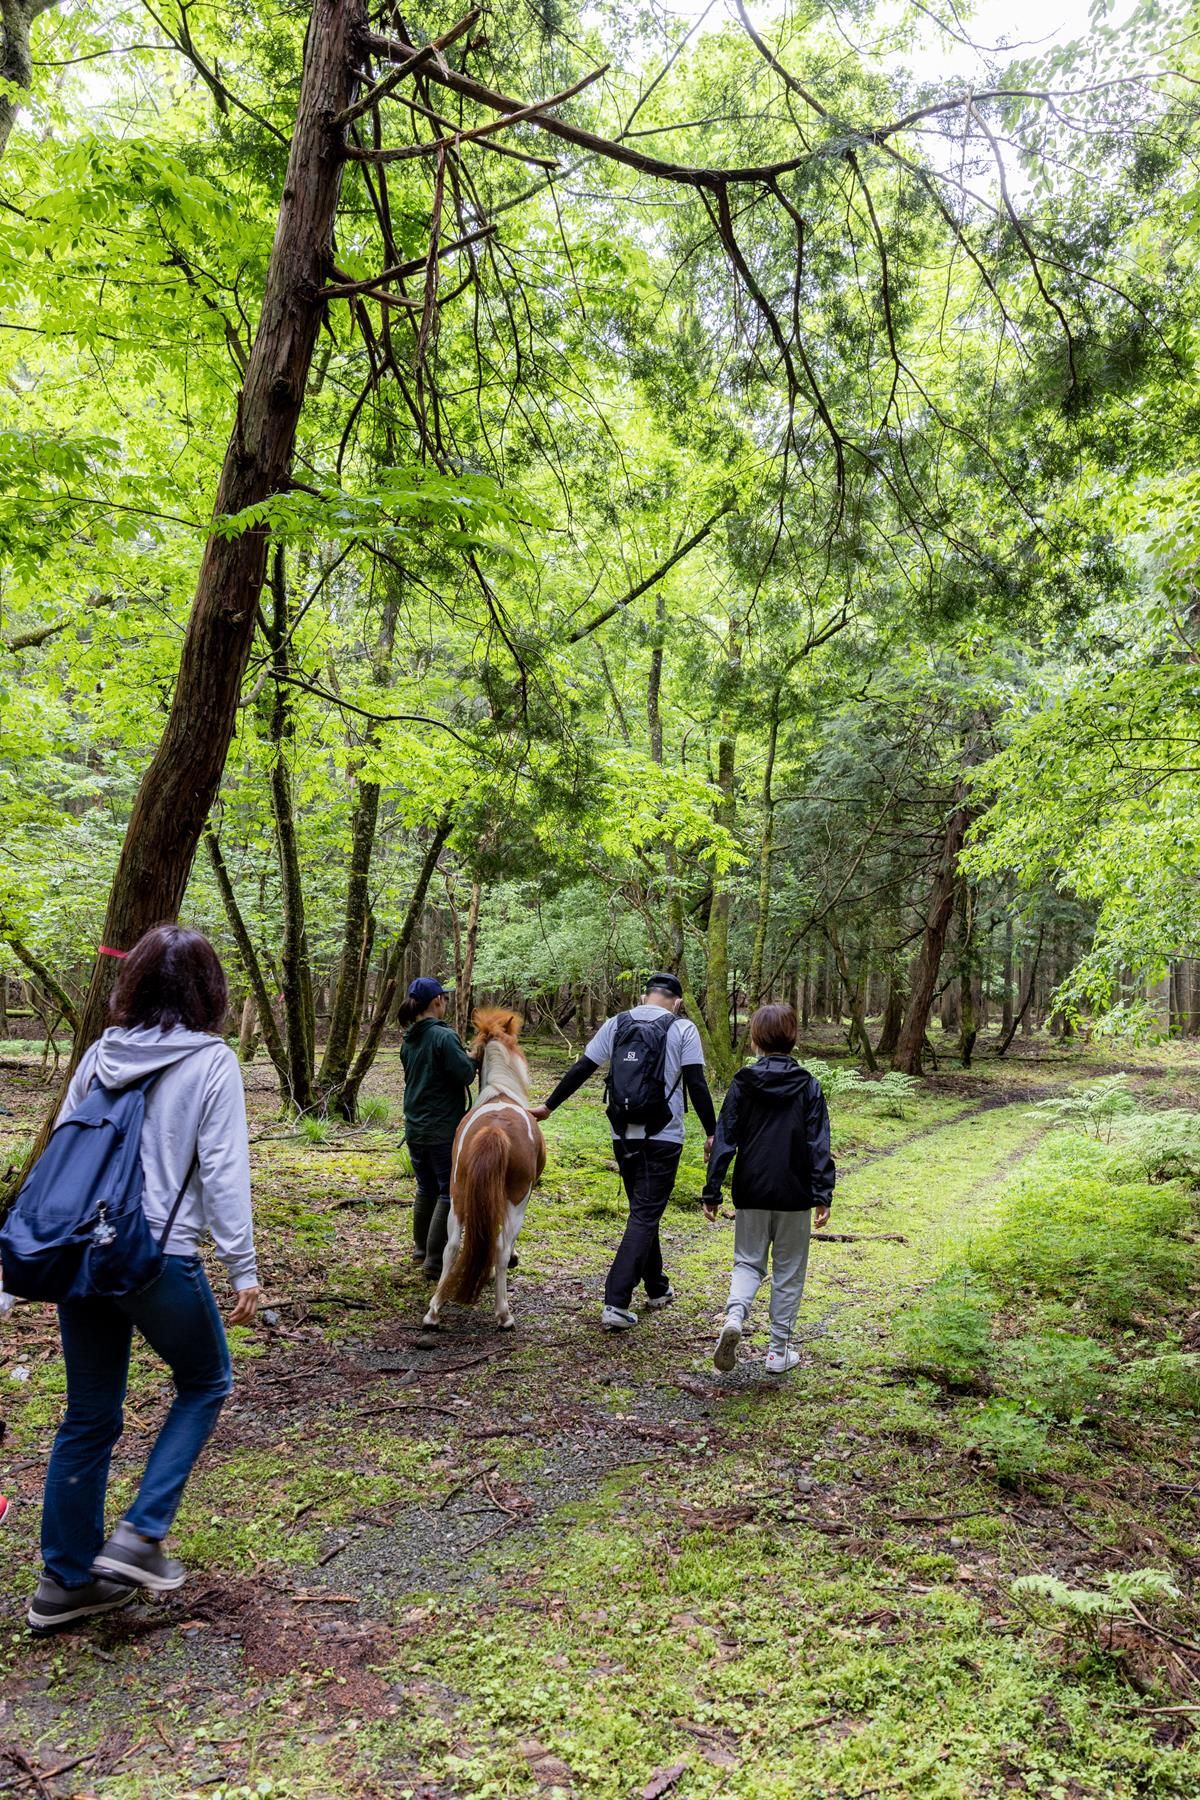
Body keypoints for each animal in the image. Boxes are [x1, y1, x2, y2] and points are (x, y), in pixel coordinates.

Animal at [424, 1008, 546, 1332]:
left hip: (457, 1196)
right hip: (516, 1200)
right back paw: (504, 1314)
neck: (500, 1093)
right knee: (501, 1248)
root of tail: (495, 1131)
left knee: (452, 1247)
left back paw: (434, 1311)